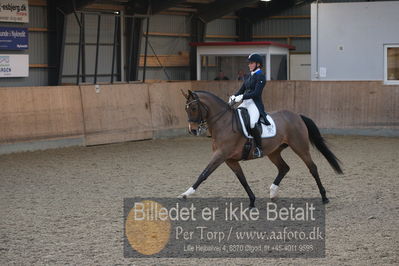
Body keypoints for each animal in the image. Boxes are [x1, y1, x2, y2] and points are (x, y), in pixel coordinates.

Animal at [179, 89, 344, 208]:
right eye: (186, 109)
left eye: (194, 107)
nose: (193, 130)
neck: (223, 123)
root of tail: (296, 115)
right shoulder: (230, 159)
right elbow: (242, 179)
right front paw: (252, 201)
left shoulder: (220, 155)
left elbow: (204, 174)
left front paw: (186, 194)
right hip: (274, 152)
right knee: (284, 168)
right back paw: (272, 193)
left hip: (300, 147)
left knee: (312, 168)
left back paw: (324, 197)